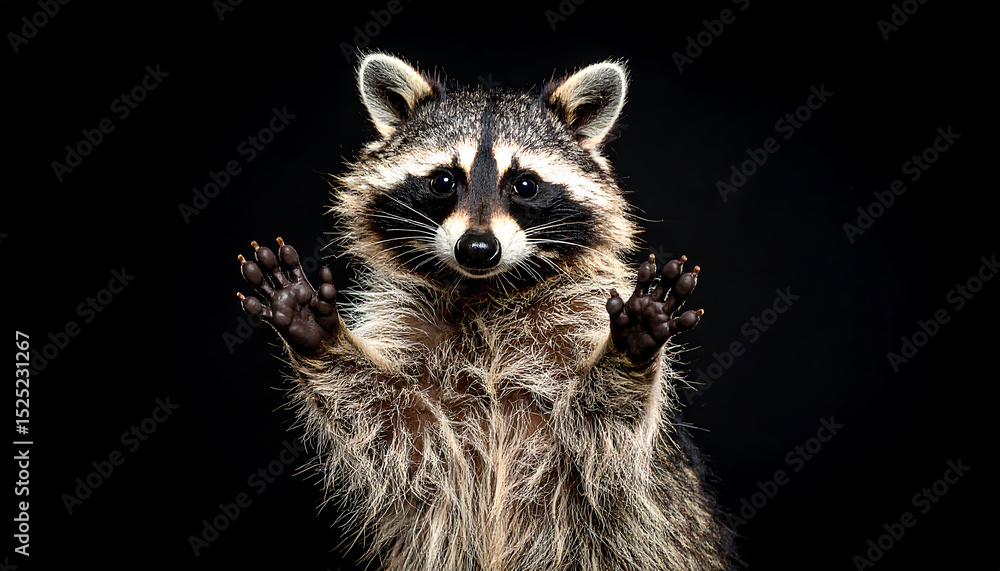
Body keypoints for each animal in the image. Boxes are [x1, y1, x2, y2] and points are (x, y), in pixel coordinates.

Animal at [236, 53, 737, 570]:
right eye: (443, 180)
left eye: (525, 185)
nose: (477, 248)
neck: (485, 292)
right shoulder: (411, 340)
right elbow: (398, 430)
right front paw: (317, 334)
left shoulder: (577, 333)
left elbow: (604, 439)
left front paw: (630, 348)